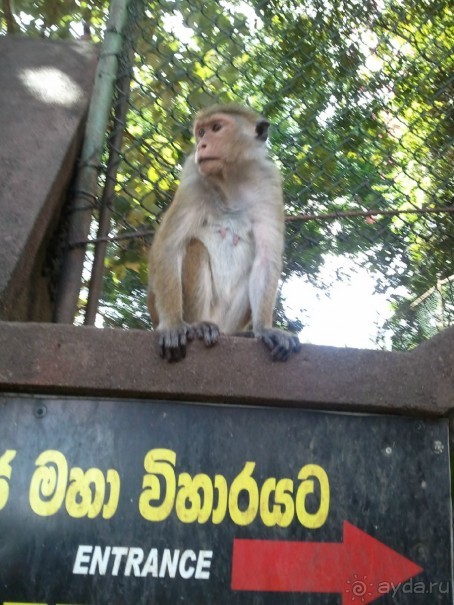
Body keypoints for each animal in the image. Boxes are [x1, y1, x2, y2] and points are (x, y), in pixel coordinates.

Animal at [148, 104, 302, 360]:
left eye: (216, 128)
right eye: (201, 132)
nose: (201, 145)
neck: (231, 179)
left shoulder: (268, 182)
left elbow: (266, 259)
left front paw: (265, 329)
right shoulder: (192, 178)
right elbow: (169, 246)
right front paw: (172, 325)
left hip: (228, 320)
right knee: (195, 247)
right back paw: (199, 325)